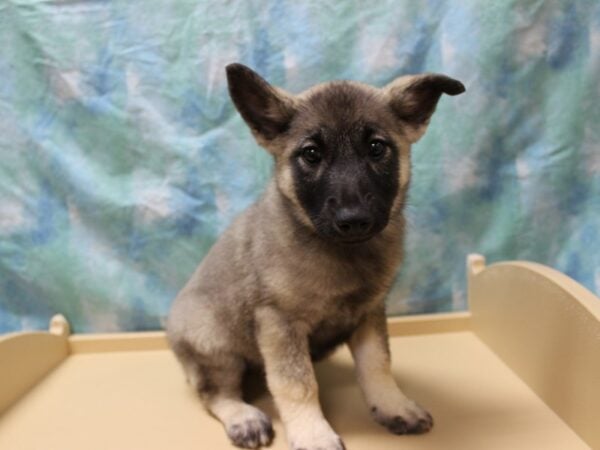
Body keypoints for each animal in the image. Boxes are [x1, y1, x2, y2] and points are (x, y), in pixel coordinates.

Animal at [166, 64, 466, 450]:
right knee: (215, 394)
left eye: (376, 147)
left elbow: (377, 365)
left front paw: (392, 405)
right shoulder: (280, 324)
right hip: (214, 344)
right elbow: (297, 383)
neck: (343, 252)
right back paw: (244, 417)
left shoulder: (369, 312)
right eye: (311, 154)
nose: (354, 220)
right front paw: (313, 433)